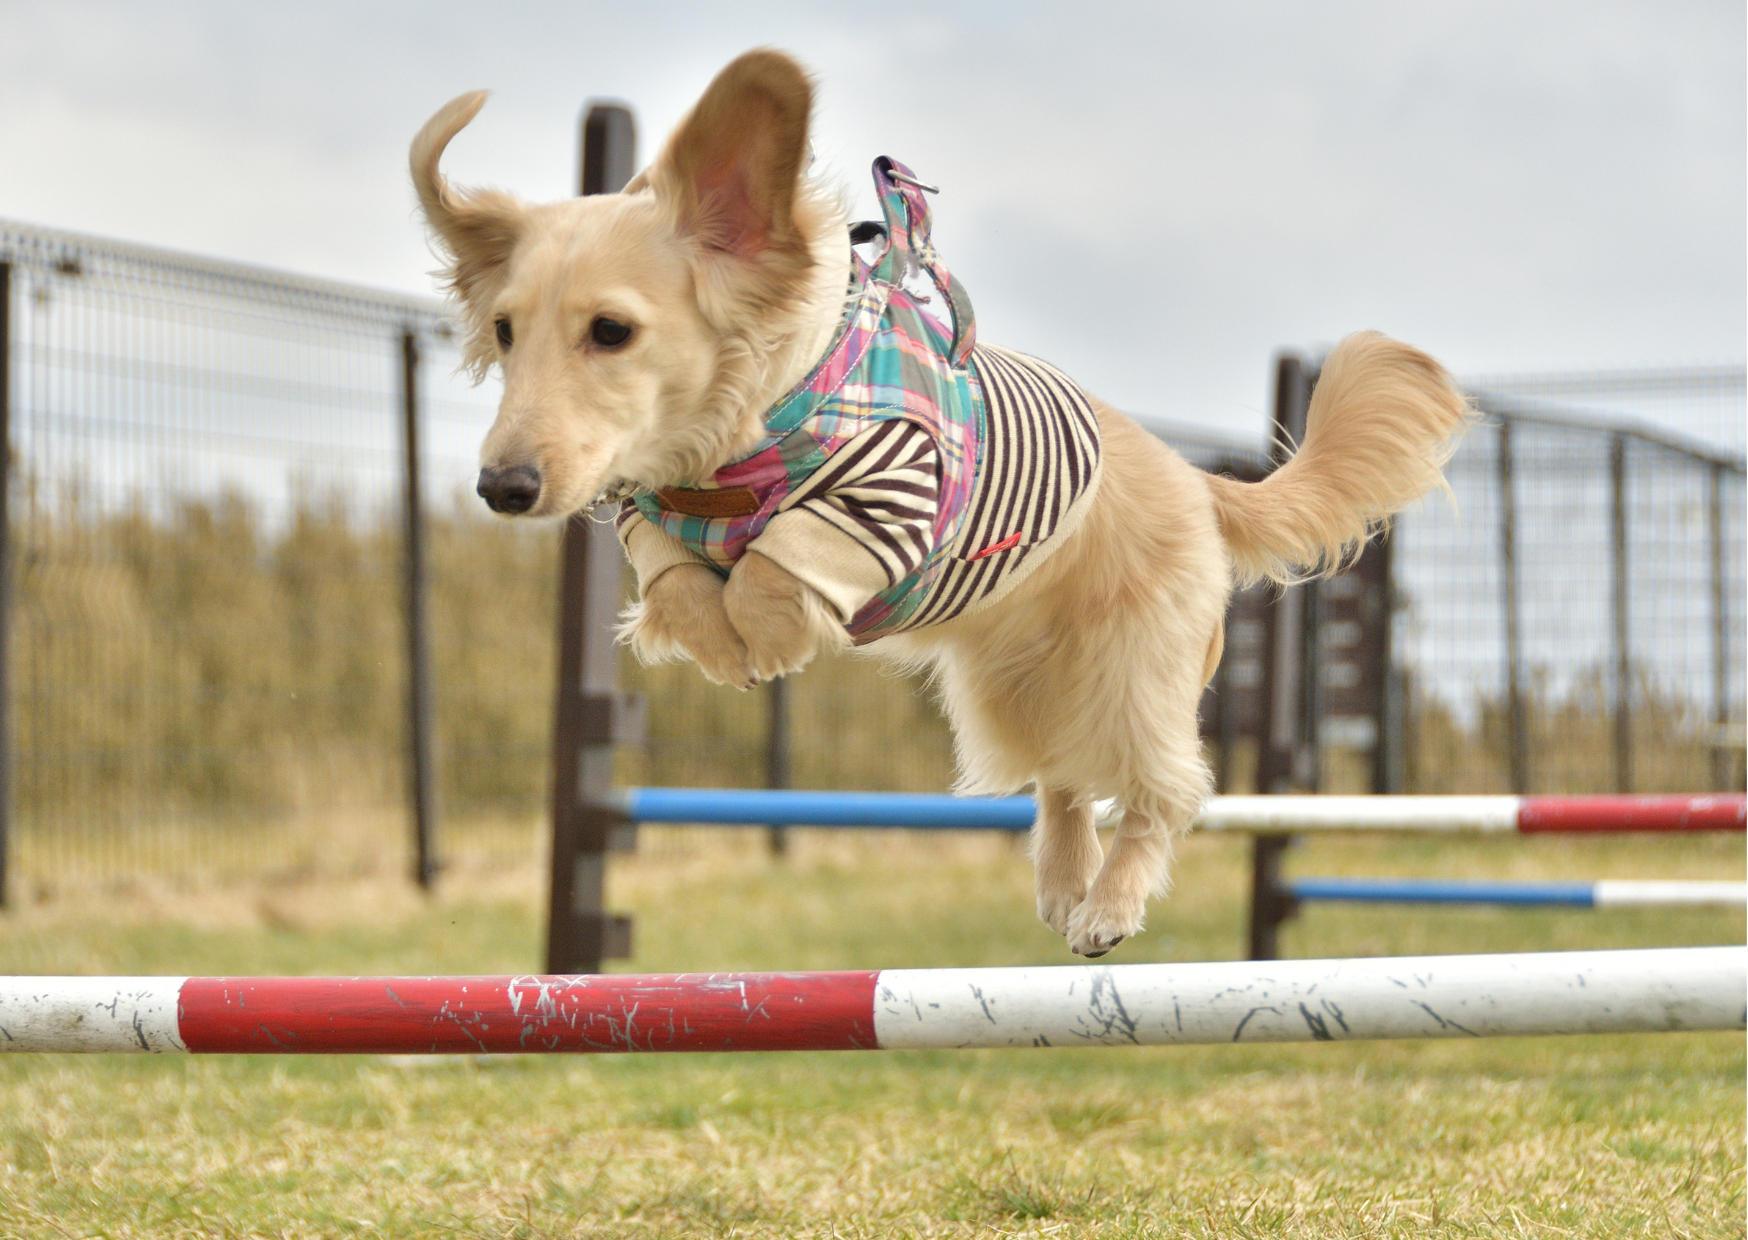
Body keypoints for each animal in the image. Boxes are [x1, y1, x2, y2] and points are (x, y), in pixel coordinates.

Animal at [412, 48, 1475, 958]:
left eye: (611, 331)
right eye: (503, 330)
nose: (502, 488)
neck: (737, 443)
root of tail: (1196, 478)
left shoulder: (889, 491)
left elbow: (773, 571)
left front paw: (766, 637)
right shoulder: (651, 521)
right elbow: (679, 581)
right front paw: (719, 643)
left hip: (1137, 674)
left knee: (1161, 792)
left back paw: (1107, 907)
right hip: (1014, 687)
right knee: (1064, 778)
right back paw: (1063, 883)